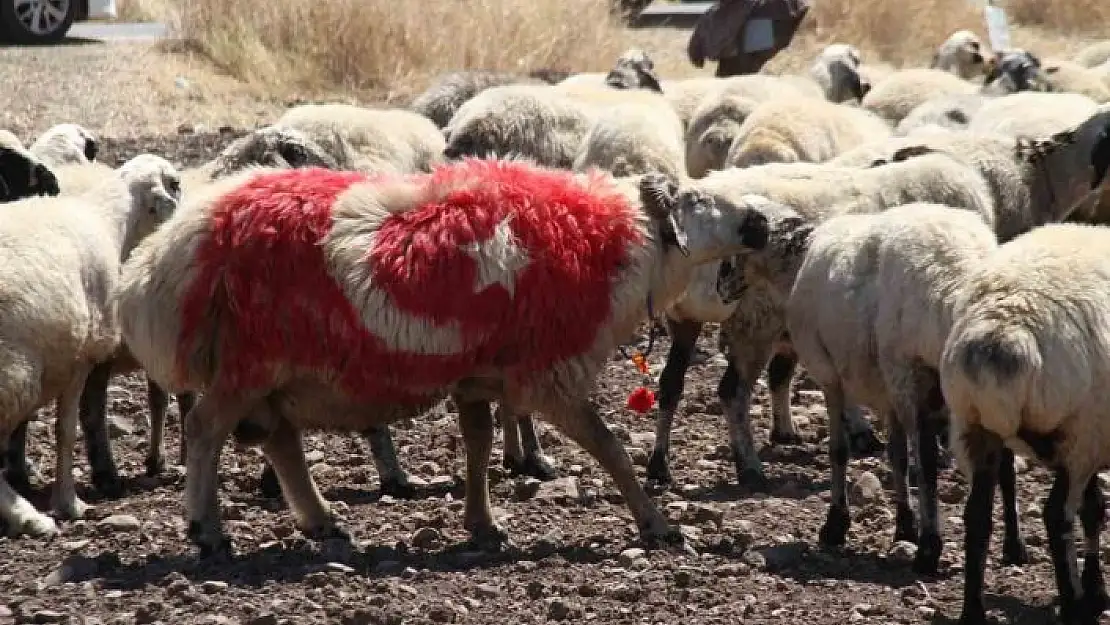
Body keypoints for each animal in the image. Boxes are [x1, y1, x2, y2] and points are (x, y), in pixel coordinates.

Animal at [0, 153, 178, 537]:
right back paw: (27, 516)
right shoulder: (80, 358)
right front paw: (68, 502)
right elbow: (66, 430)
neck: (108, 218)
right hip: (15, 375)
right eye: (176, 183)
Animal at [110, 157, 772, 557]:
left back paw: (322, 520)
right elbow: (608, 447)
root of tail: (169, 258)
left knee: (279, 441)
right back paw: (208, 531)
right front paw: (658, 524)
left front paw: (483, 523)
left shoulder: (478, 375)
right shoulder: (548, 372)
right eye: (699, 198)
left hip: (269, 368)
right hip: (251, 360)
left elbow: (479, 443)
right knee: (205, 429)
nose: (762, 220)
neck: (610, 242)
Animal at [941, 224, 1110, 625]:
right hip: (1079, 433)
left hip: (975, 427)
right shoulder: (1090, 438)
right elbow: (1092, 509)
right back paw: (1073, 606)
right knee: (1056, 516)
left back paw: (973, 612)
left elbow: (1094, 507)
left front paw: (1097, 589)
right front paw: (1094, 592)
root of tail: (1002, 333)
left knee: (977, 517)